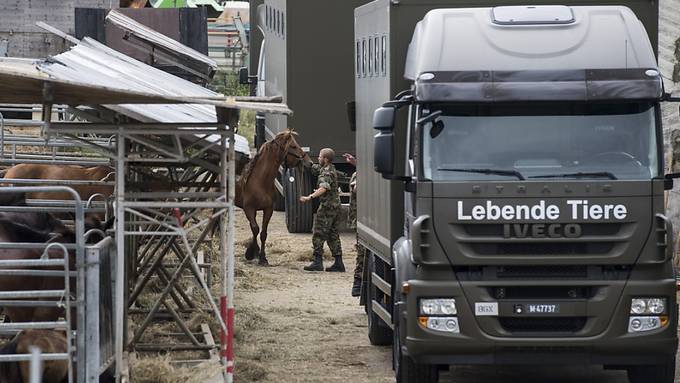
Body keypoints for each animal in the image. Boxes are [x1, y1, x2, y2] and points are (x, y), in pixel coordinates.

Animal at [235, 130, 312, 266]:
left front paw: (262, 258)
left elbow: (263, 233)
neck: (259, 181)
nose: (310, 162)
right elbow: (255, 228)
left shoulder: (268, 209)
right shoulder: (249, 209)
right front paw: (251, 253)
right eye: (293, 146)